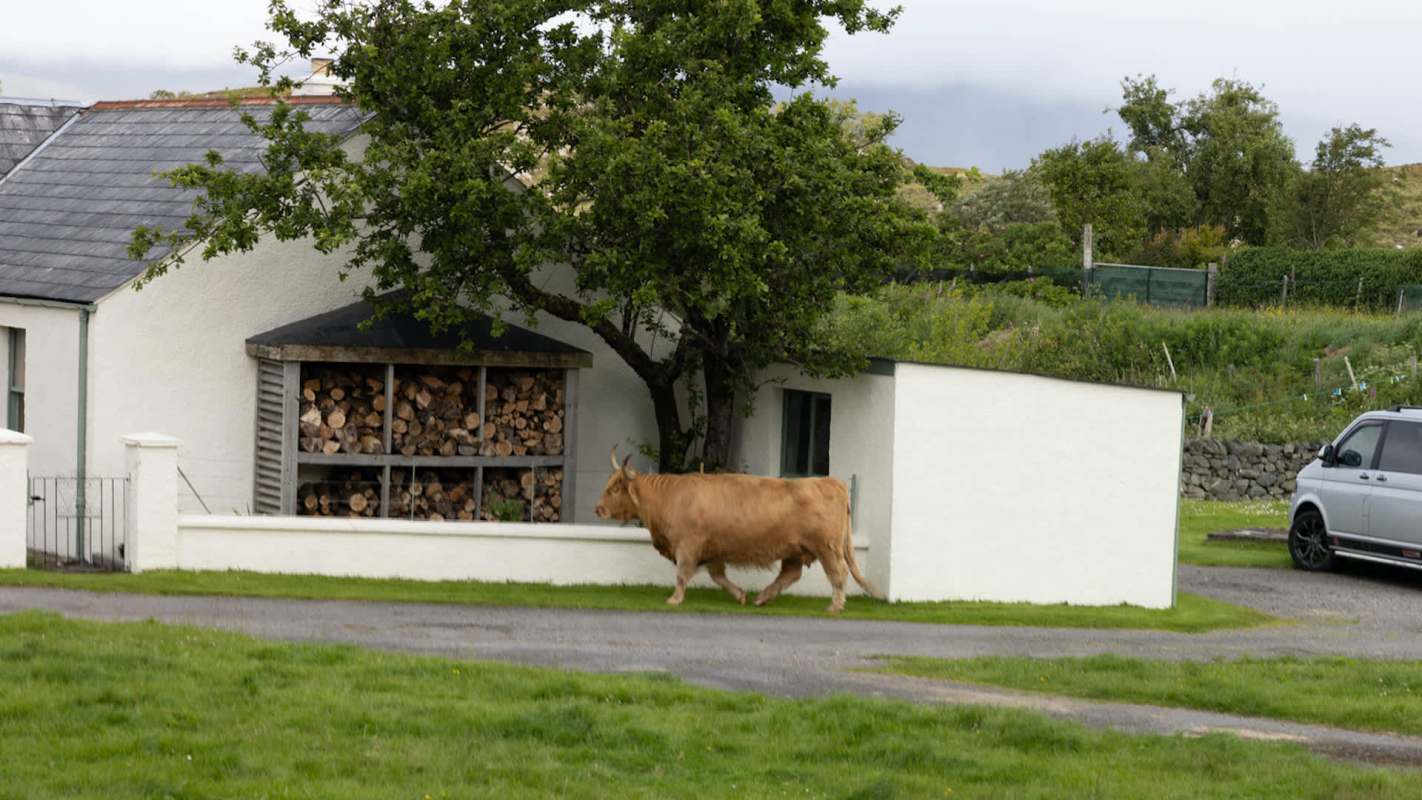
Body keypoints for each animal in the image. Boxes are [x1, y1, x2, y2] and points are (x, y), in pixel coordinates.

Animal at [594, 448, 882, 613]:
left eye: (615, 488)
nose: (598, 509)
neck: (669, 498)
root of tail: (832, 482)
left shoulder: (688, 546)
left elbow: (682, 574)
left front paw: (675, 599)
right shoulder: (712, 549)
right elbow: (718, 576)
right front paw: (740, 595)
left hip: (826, 547)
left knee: (838, 572)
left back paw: (835, 605)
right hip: (794, 550)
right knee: (790, 574)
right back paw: (762, 597)